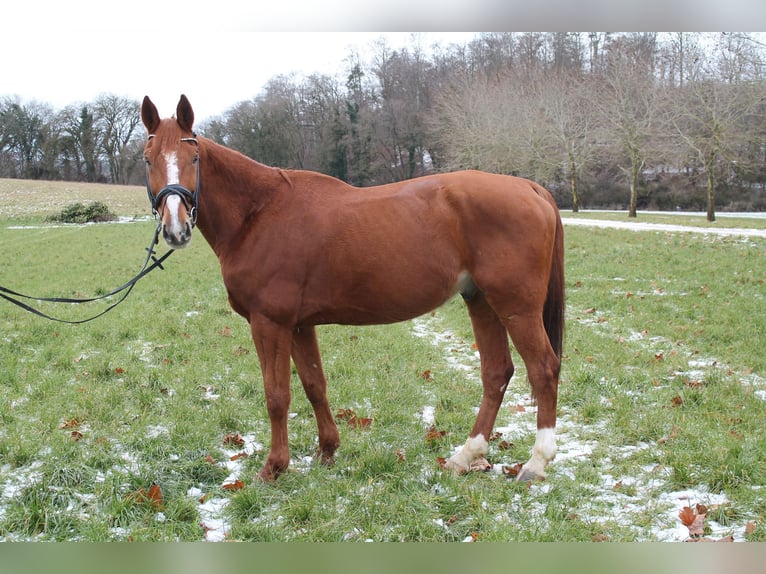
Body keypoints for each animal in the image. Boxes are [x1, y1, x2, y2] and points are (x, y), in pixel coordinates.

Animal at [141, 95, 568, 486]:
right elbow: (314, 385)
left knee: (543, 369)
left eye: (193, 158)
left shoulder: (269, 323)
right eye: (148, 160)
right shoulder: (299, 325)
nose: (175, 227)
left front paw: (274, 467)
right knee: (497, 373)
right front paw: (327, 451)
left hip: (516, 307)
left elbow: (277, 395)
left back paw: (535, 462)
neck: (258, 213)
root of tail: (530, 187)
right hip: (482, 302)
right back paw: (466, 456)